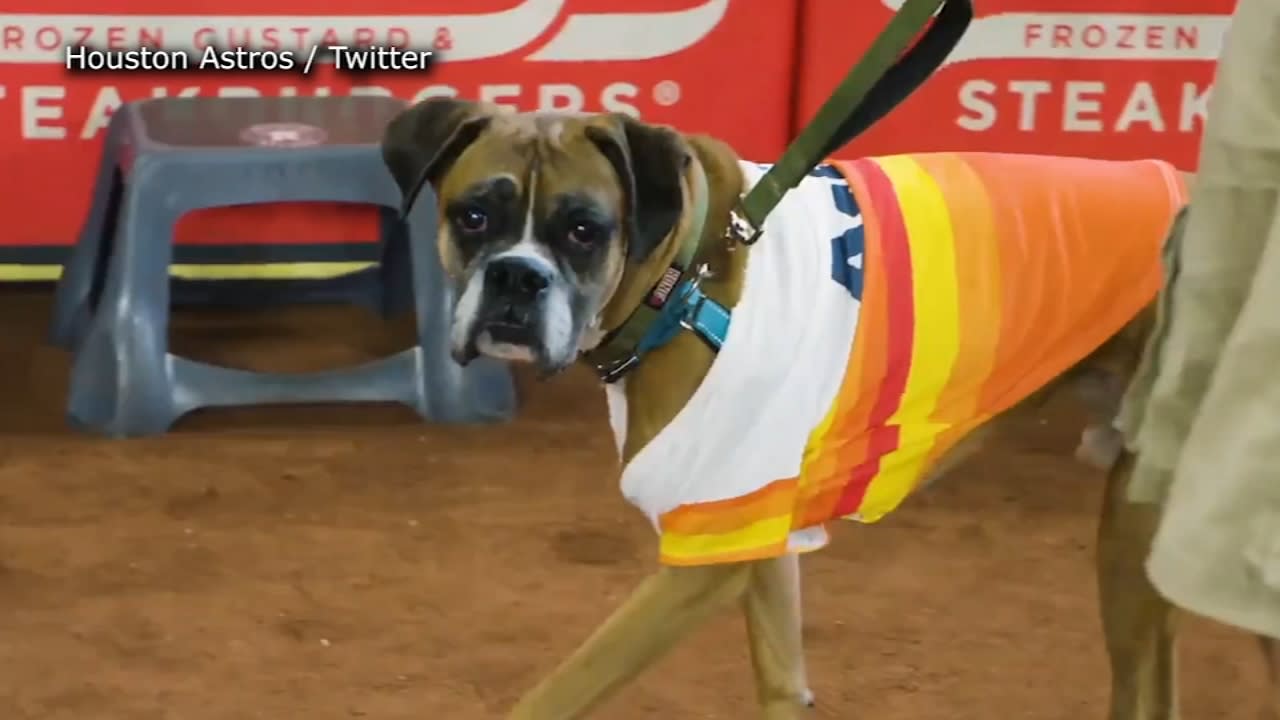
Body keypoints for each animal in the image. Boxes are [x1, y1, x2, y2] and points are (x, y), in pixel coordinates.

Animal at [376, 96, 1228, 717]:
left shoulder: (704, 553)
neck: (683, 275)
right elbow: (782, 679)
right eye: (473, 217)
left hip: (1135, 540)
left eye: (585, 229)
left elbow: (564, 688)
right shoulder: (758, 531)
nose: (517, 278)